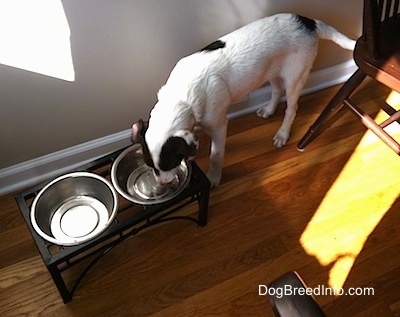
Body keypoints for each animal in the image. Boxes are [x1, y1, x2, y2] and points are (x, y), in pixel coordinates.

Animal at [132, 13, 356, 186]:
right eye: (150, 166)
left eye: (169, 164)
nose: (162, 184)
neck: (180, 97)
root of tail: (309, 22)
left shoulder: (219, 125)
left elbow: (215, 155)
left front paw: (214, 177)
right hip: (271, 70)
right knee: (277, 91)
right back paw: (268, 110)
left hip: (295, 76)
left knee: (292, 107)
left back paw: (282, 134)